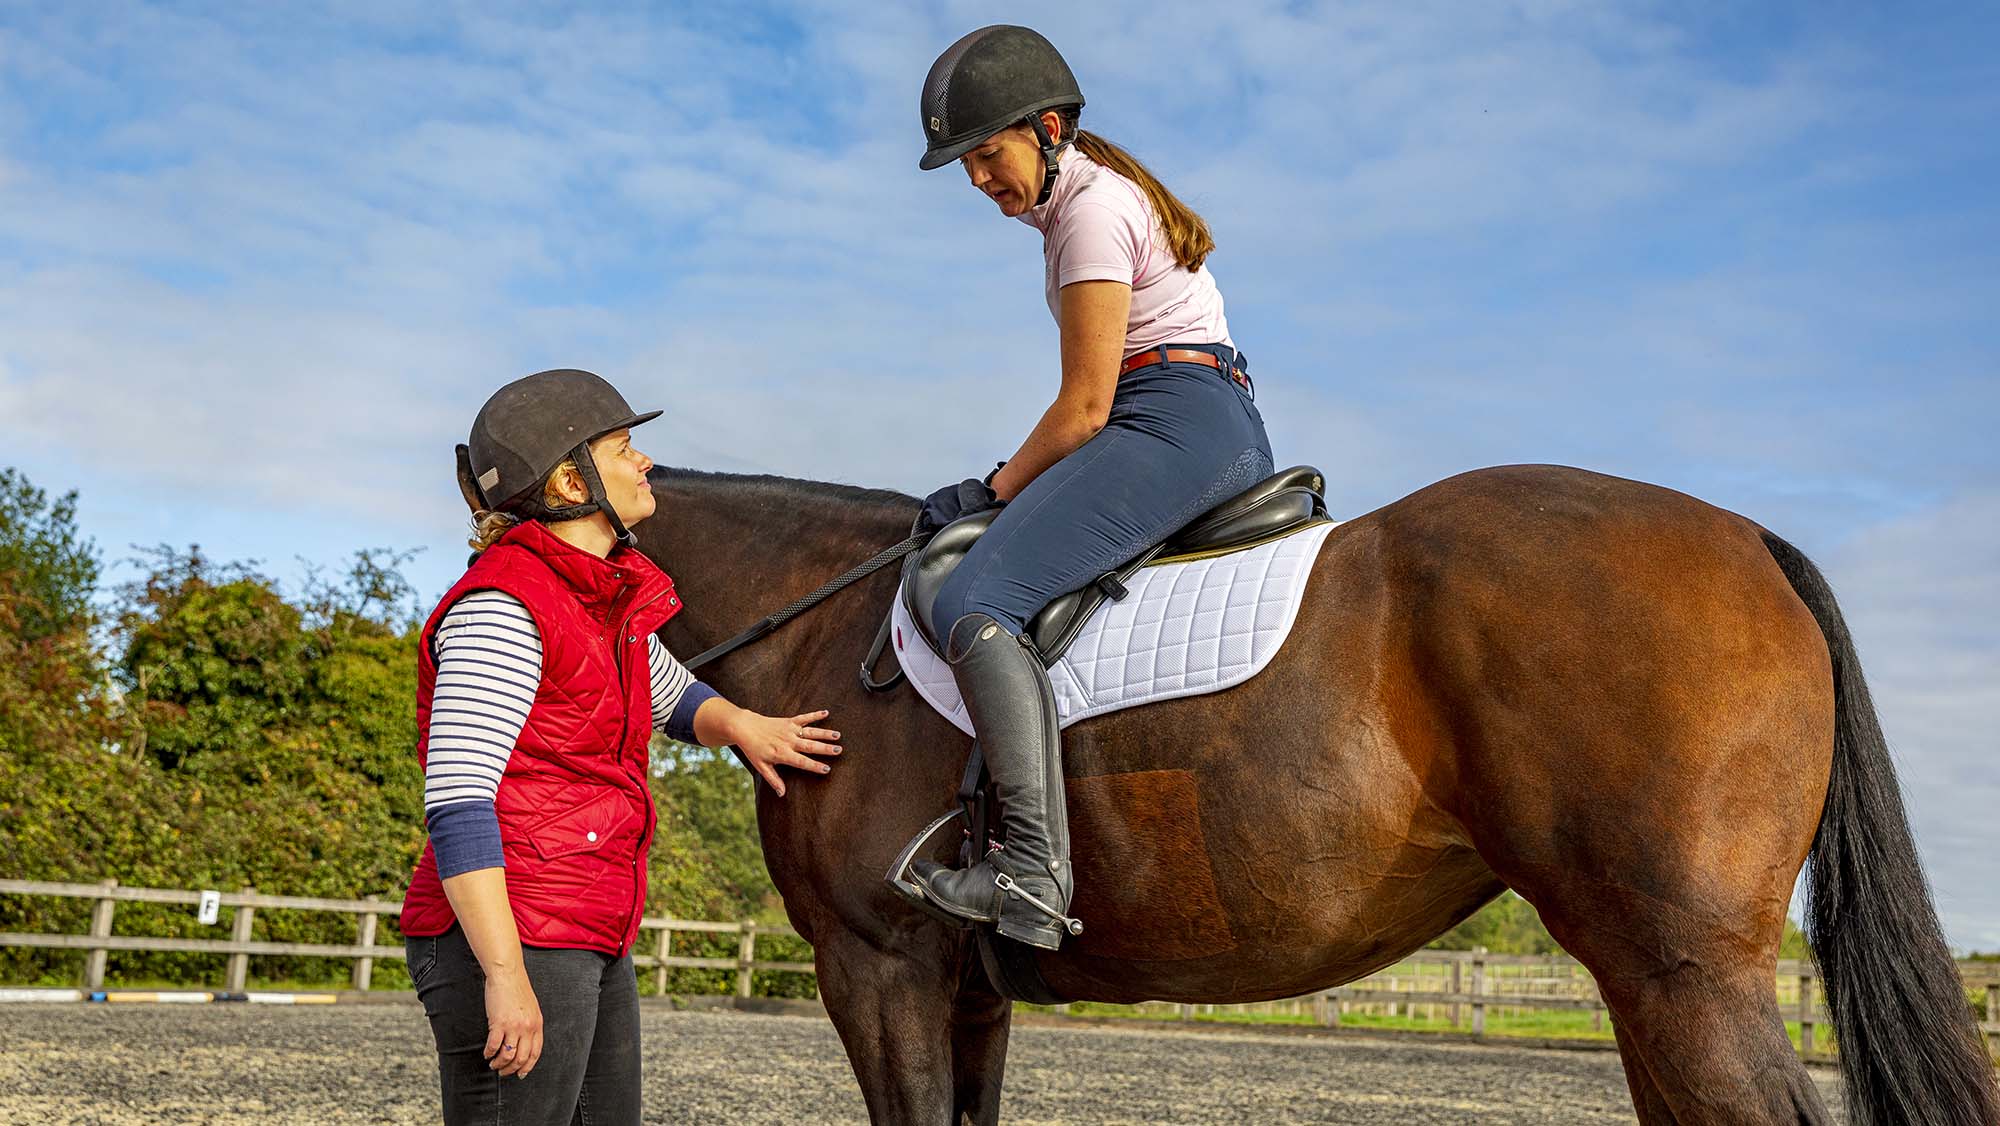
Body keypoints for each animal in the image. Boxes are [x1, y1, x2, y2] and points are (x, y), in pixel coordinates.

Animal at [626, 462, 1996, 1126]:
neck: (821, 628)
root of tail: (1745, 535)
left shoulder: (879, 965)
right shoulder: (966, 988)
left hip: (1685, 972)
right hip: (1646, 979)